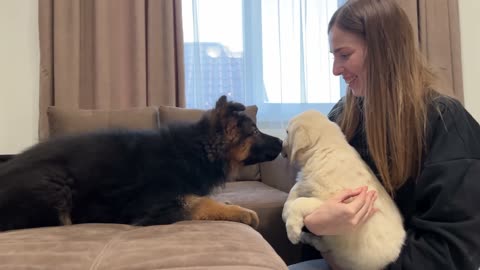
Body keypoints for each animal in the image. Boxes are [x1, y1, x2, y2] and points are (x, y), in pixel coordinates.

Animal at [0, 96, 284, 231]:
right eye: (255, 132)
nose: (282, 142)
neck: (198, 148)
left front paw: (229, 205)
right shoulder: (156, 204)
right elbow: (199, 202)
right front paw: (241, 211)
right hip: (55, 184)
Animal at [282, 109, 404, 270]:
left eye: (287, 132)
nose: (280, 146)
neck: (324, 149)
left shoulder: (331, 202)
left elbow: (300, 202)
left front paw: (292, 231)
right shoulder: (306, 182)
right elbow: (295, 190)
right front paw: (286, 212)